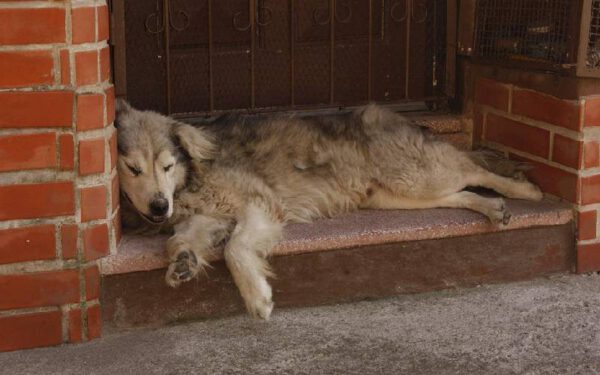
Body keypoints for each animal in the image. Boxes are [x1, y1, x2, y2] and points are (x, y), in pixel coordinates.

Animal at [116, 100, 544, 320]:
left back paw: (524, 190)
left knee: (475, 168)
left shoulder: (259, 204)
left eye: (167, 165)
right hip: (396, 194)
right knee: (461, 194)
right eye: (133, 168)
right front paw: (183, 262)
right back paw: (493, 208)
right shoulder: (208, 217)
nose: (159, 206)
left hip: (417, 174)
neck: (190, 179)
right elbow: (179, 241)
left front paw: (258, 298)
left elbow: (236, 250)